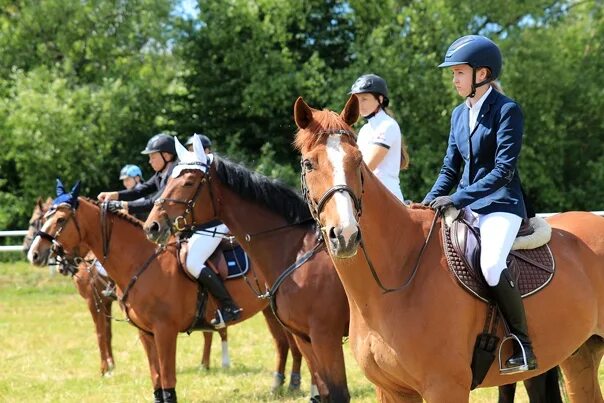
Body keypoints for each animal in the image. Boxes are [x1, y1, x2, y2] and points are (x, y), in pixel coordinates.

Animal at [28, 191, 302, 402]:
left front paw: (106, 368)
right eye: (43, 219)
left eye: (59, 219)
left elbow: (166, 378)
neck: (141, 261)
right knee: (284, 343)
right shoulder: (146, 333)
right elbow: (156, 378)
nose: (34, 254)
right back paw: (281, 384)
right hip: (270, 310)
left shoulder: (164, 331)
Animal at [144, 137, 352, 403]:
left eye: (188, 182)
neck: (296, 251)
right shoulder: (305, 337)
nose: (152, 226)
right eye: (168, 180)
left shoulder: (326, 336)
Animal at [292, 96, 604, 402]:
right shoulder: (392, 390)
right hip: (580, 355)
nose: (345, 234)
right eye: (308, 164)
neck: (397, 275)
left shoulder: (445, 386)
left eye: (357, 161)